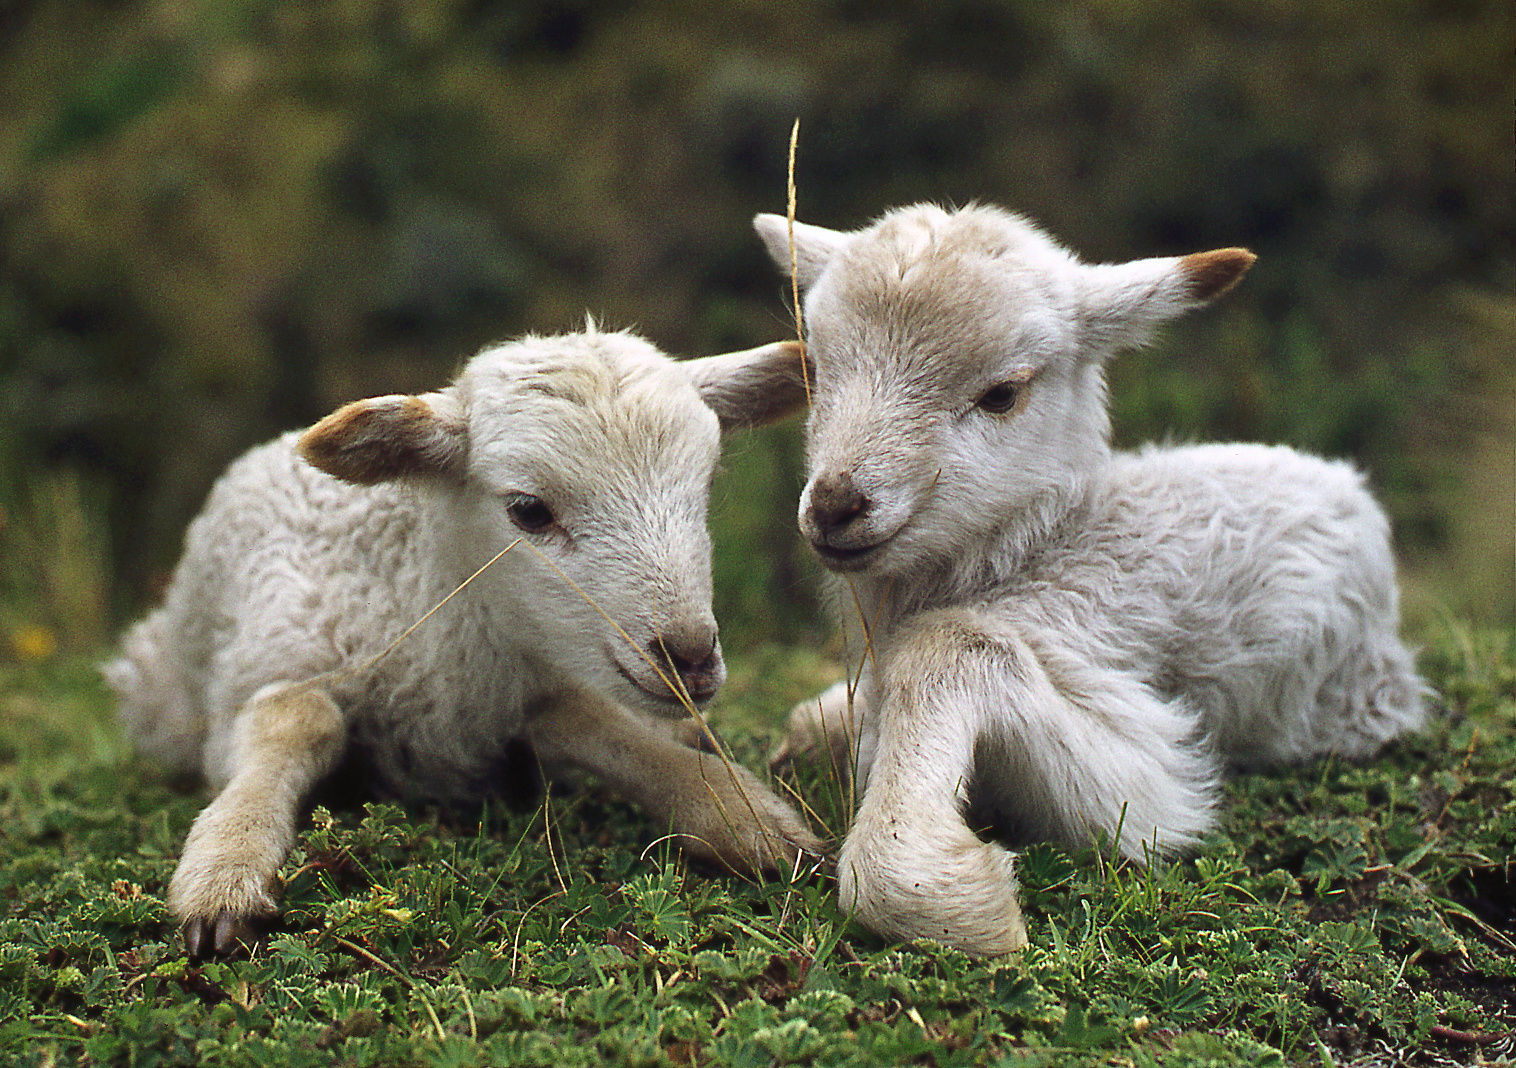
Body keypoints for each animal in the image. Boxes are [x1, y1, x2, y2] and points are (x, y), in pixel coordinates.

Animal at [103, 327, 830, 958]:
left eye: (704, 485)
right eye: (528, 509)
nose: (691, 657)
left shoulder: (534, 687)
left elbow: (586, 723)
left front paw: (742, 813)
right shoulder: (266, 667)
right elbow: (297, 720)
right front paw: (226, 871)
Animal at [758, 204, 1431, 952]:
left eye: (1003, 394)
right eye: (817, 367)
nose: (834, 506)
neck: (1033, 547)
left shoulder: (1143, 766)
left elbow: (949, 648)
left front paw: (956, 898)